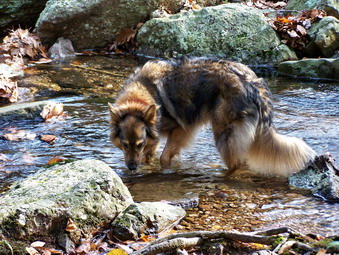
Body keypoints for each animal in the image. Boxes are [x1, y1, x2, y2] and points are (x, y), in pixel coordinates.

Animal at [108, 57, 316, 175]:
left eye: (138, 144)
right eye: (124, 145)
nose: (131, 168)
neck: (142, 93)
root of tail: (252, 85)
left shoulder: (181, 130)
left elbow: (164, 157)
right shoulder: (155, 136)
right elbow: (151, 155)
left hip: (224, 134)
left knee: (237, 163)